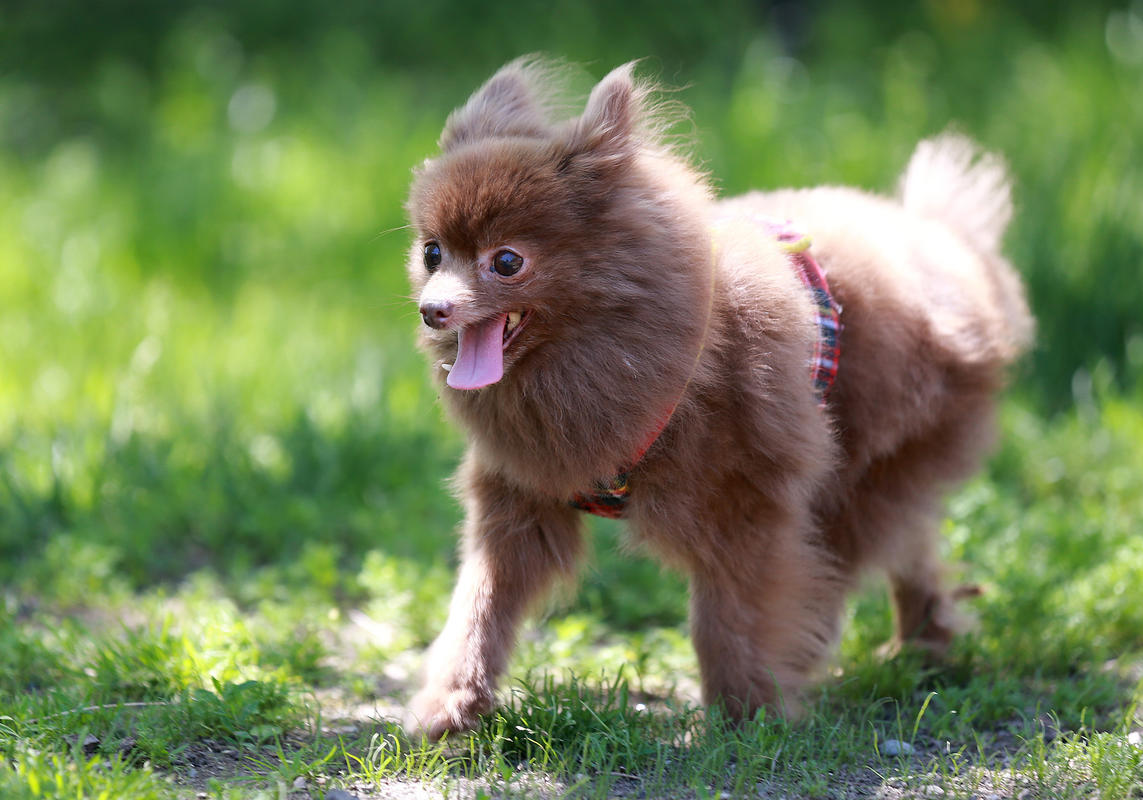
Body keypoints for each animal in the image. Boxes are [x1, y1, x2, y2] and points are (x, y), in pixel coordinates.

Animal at [402, 59, 1037, 740]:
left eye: (507, 262)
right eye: (432, 253)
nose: (433, 308)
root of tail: (956, 247)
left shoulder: (743, 504)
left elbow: (727, 618)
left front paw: (741, 717)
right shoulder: (520, 493)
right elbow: (479, 607)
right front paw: (449, 705)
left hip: (865, 471)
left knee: (858, 552)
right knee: (909, 544)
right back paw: (923, 641)